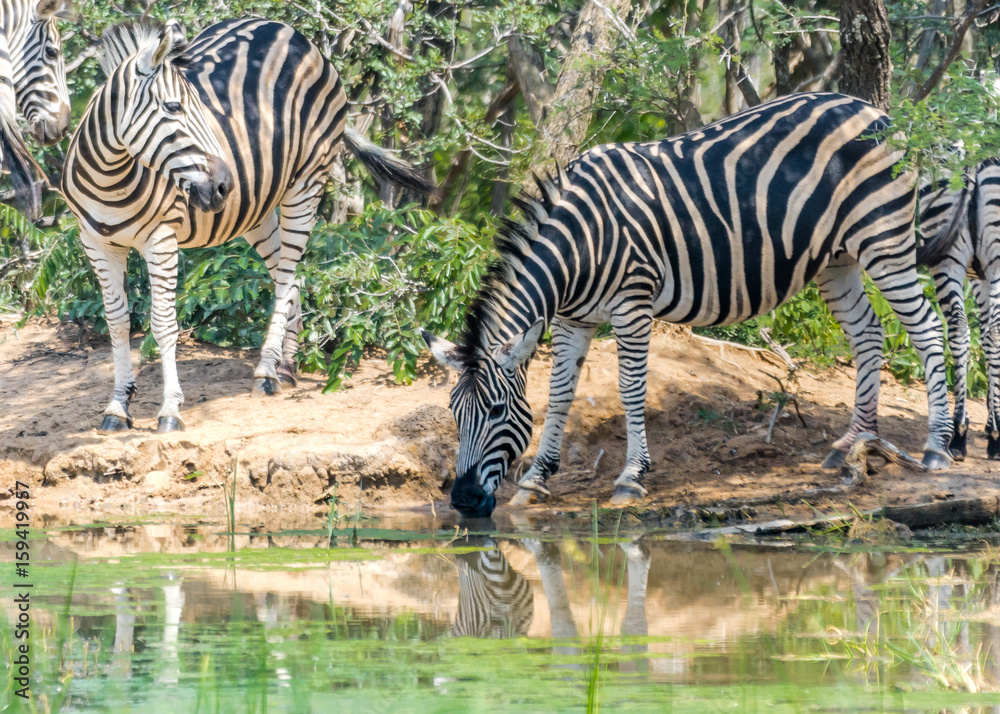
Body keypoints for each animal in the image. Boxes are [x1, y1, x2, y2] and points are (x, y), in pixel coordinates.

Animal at [61, 18, 431, 433]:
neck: (110, 175)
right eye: (173, 107)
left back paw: (267, 372)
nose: (224, 185)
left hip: (307, 183)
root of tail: (288, 30)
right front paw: (118, 406)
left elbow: (162, 324)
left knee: (286, 277)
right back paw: (287, 366)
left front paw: (170, 410)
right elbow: (117, 323)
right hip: (256, 210)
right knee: (293, 279)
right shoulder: (96, 243)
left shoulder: (161, 239)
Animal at [424, 92, 953, 518]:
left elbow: (630, 389)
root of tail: (872, 109)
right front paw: (536, 481)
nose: (464, 501)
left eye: (496, 411)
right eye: (454, 414)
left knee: (927, 328)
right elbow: (558, 395)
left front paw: (631, 477)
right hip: (837, 257)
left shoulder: (632, 305)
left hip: (882, 237)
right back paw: (853, 444)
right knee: (867, 333)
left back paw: (937, 448)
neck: (581, 243)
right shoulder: (574, 319)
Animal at [918, 159, 1000, 460]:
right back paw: (990, 437)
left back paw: (959, 435)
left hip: (948, 259)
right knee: (988, 333)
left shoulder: (978, 277)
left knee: (959, 331)